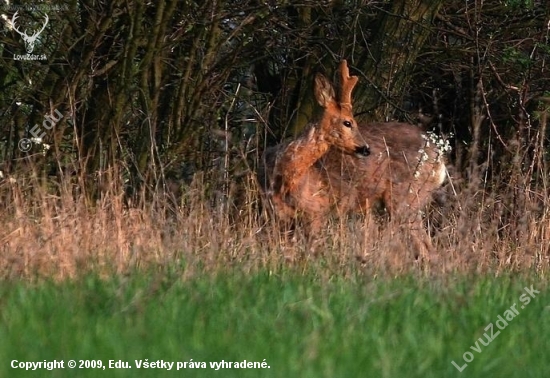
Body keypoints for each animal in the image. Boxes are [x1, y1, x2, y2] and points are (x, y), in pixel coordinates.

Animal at [260, 60, 448, 258]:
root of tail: (439, 157)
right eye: (348, 122)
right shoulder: (276, 213)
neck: (285, 175)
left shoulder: (317, 209)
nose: (365, 148)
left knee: (426, 247)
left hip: (406, 195)